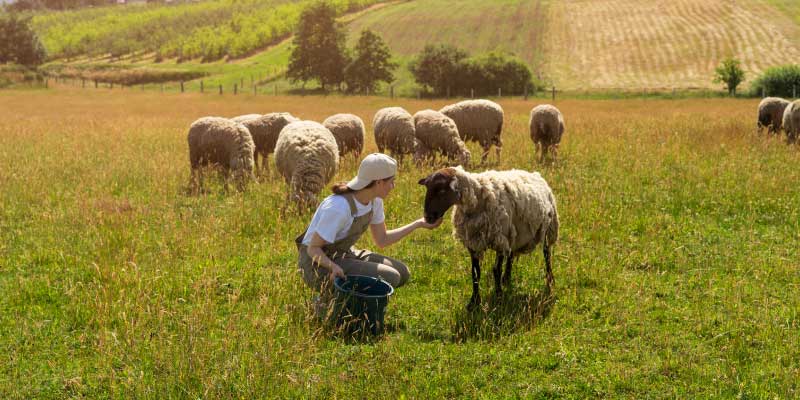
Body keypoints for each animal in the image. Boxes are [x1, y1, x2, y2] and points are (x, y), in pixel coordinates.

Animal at [418, 166, 556, 310]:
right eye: (427, 188)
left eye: (441, 190)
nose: (428, 217)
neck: (478, 197)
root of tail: (535, 174)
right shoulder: (473, 242)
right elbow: (475, 272)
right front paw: (474, 301)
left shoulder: (499, 240)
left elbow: (496, 270)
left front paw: (499, 297)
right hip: (514, 233)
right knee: (511, 255)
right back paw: (506, 279)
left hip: (548, 228)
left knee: (547, 255)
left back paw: (550, 281)